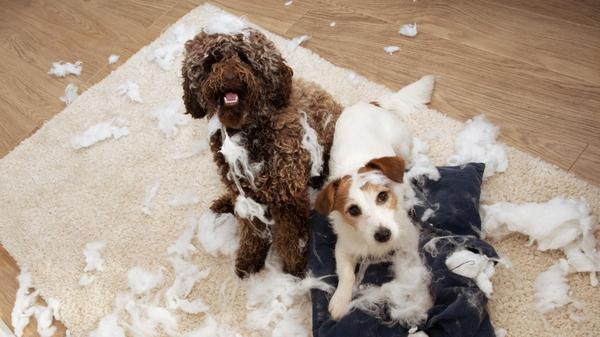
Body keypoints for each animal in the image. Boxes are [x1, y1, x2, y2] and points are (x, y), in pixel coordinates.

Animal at [182, 28, 342, 276]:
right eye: (212, 60)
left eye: (244, 58)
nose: (230, 76)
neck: (250, 131)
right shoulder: (245, 196)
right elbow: (251, 232)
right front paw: (249, 259)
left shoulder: (288, 198)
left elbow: (290, 237)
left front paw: (294, 268)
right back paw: (224, 203)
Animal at [314, 76, 436, 322]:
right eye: (353, 210)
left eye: (382, 196)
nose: (383, 234)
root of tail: (370, 103)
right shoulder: (343, 247)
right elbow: (346, 274)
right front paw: (340, 300)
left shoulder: (408, 240)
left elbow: (411, 267)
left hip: (402, 146)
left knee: (407, 160)